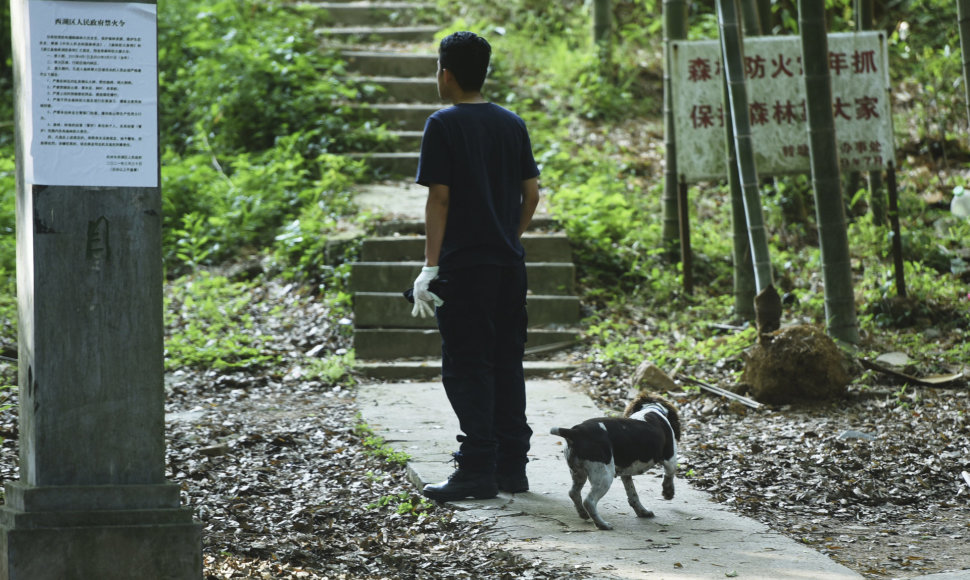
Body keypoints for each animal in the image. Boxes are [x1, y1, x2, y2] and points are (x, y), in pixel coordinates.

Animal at [552, 394, 680, 532]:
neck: (652, 409)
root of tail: (575, 432)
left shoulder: (626, 474)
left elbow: (633, 494)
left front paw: (642, 512)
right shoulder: (670, 458)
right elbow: (669, 475)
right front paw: (668, 493)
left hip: (578, 472)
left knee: (574, 493)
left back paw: (583, 513)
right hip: (604, 475)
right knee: (589, 501)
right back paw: (602, 524)